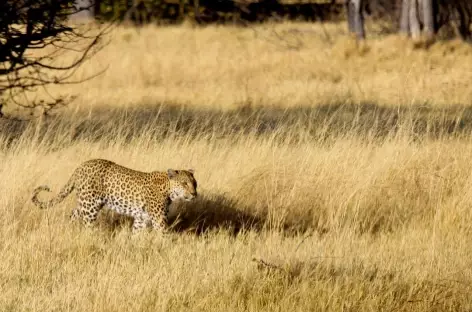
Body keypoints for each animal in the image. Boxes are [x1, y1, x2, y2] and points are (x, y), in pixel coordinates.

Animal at [31, 160, 197, 233]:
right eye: (184, 183)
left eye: (195, 183)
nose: (194, 194)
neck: (168, 189)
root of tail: (80, 166)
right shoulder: (159, 220)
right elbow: (165, 237)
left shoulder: (141, 218)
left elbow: (136, 234)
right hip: (89, 207)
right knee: (87, 225)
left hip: (85, 204)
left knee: (73, 215)